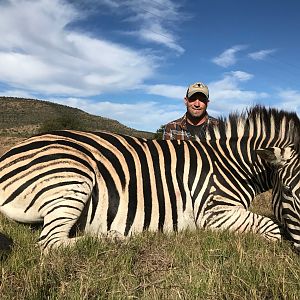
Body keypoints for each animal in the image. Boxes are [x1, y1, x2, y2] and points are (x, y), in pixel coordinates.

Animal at [0, 105, 298, 251]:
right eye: (290, 194)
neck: (231, 164)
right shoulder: (213, 212)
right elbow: (272, 228)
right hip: (73, 174)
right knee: (50, 243)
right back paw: (116, 239)